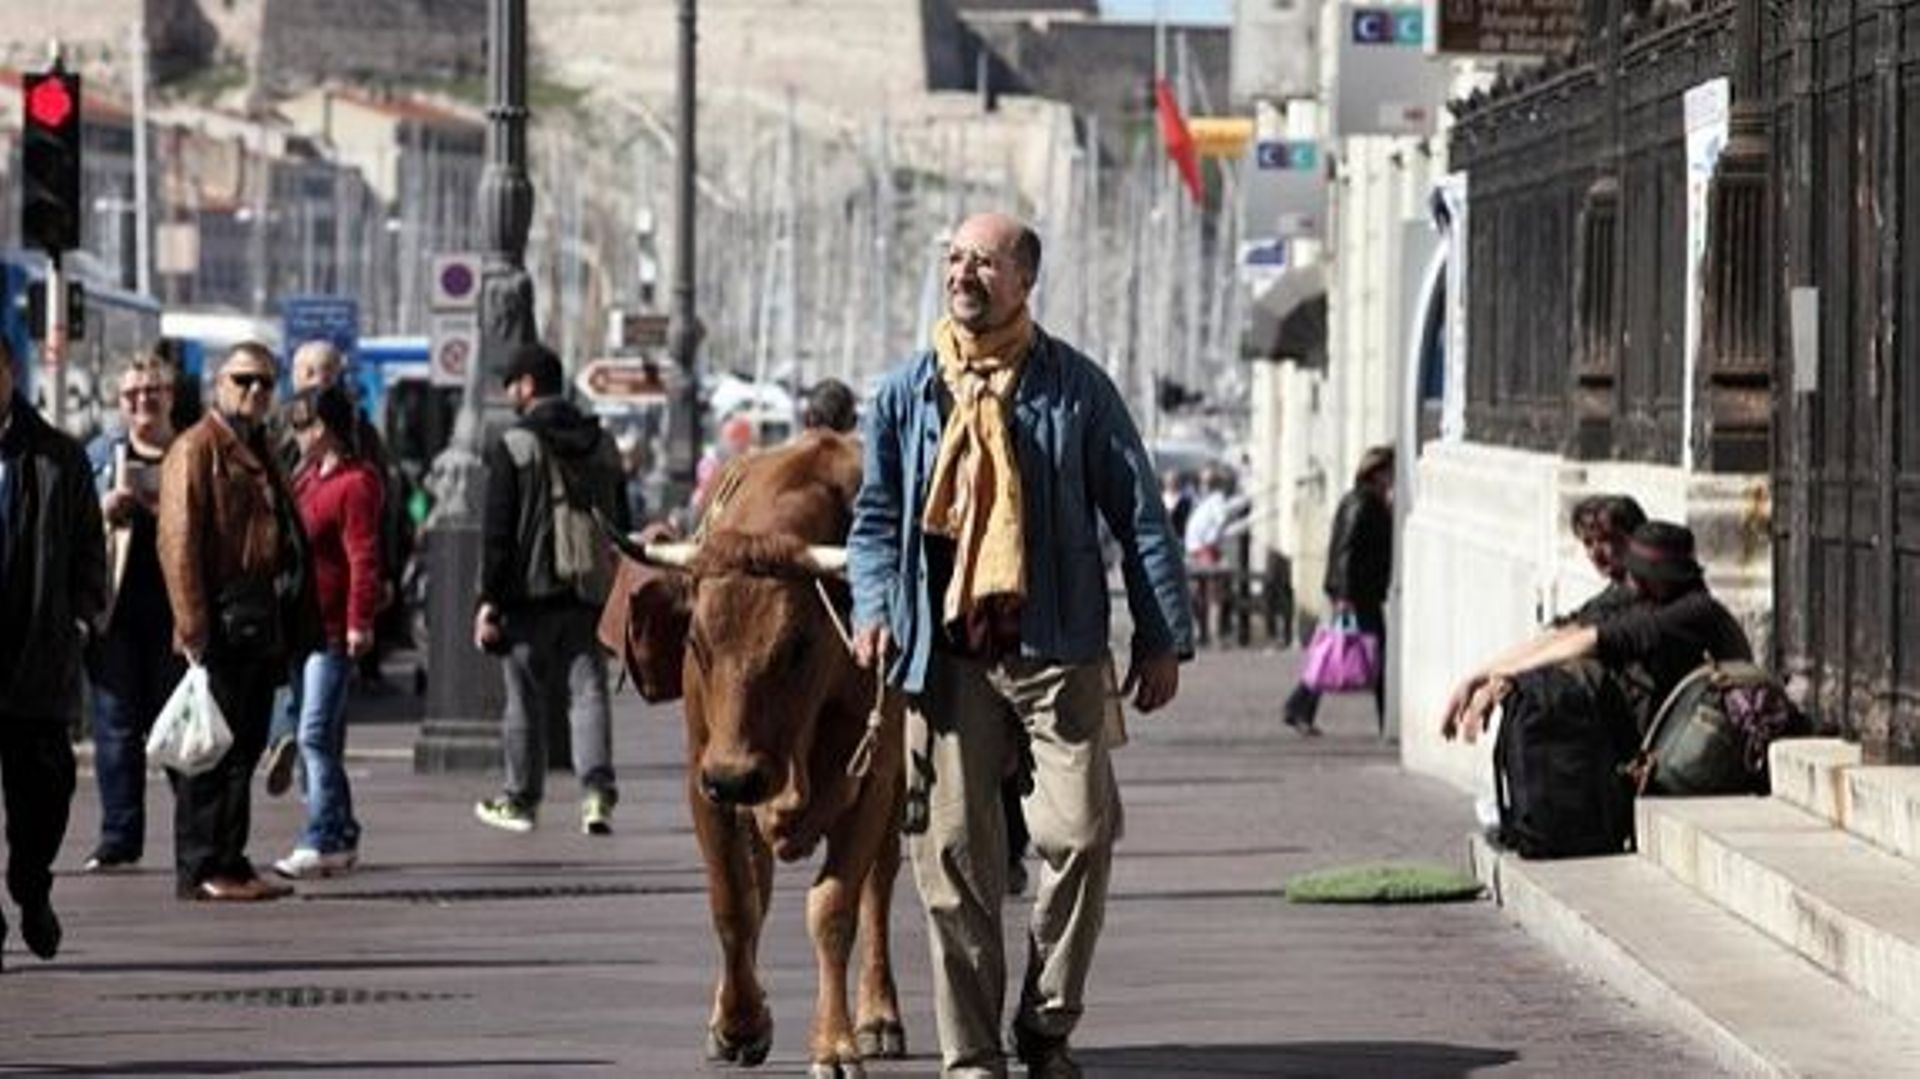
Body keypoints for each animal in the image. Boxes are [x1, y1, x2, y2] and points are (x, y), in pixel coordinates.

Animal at [606, 430, 906, 1075]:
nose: (736, 776)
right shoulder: (703, 778)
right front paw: (740, 1023)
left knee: (880, 882)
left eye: (798, 645)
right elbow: (734, 903)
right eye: (696, 640)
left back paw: (878, 1015)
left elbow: (835, 908)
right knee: (758, 886)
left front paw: (835, 1043)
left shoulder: (874, 775)